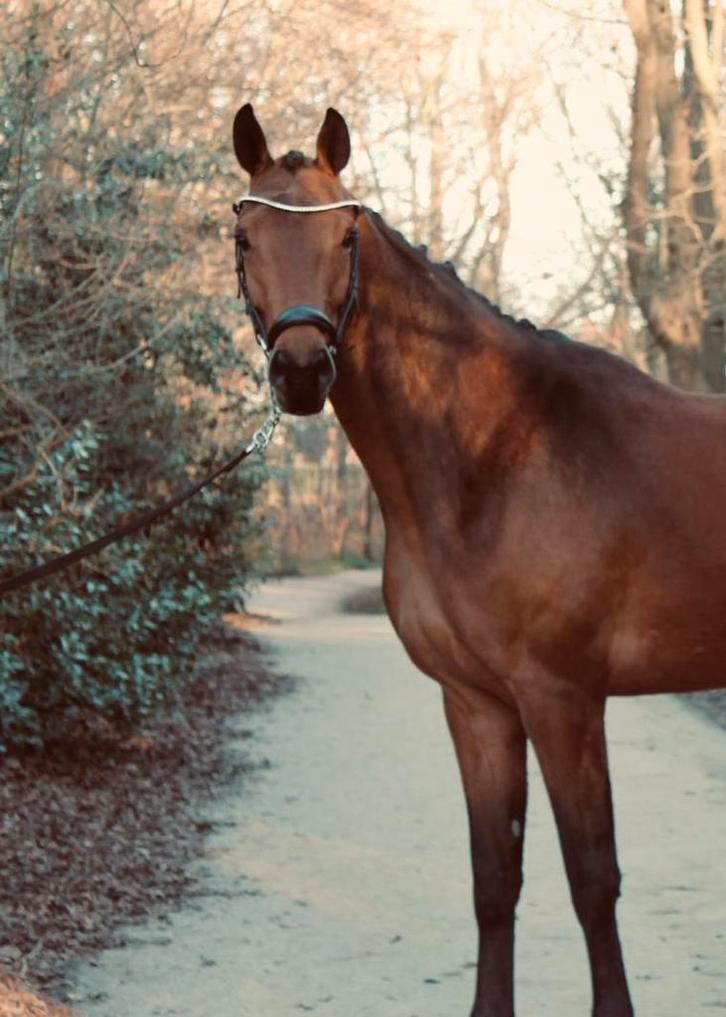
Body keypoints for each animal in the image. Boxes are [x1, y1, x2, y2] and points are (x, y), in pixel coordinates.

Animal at [230, 103, 726, 1017]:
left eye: (346, 237)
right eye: (246, 238)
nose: (302, 370)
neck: (494, 450)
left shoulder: (563, 697)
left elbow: (591, 880)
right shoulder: (476, 704)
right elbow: (495, 880)